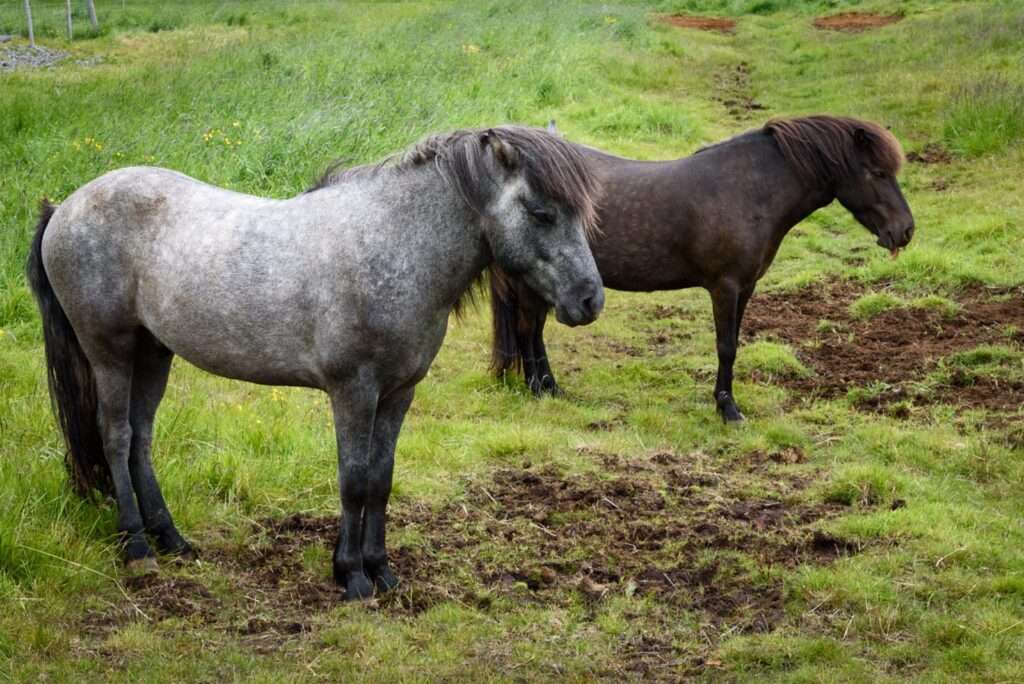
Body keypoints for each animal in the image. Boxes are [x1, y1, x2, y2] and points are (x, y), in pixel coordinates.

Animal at [26, 126, 604, 600]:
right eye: (541, 213)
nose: (589, 300)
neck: (393, 247)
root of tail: (65, 208)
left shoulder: (398, 393)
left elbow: (381, 478)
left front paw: (382, 571)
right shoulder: (353, 391)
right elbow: (353, 479)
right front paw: (351, 576)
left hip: (153, 352)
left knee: (141, 438)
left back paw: (171, 539)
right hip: (110, 351)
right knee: (117, 436)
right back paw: (138, 548)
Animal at [489, 115, 914, 421]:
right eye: (877, 173)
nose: (905, 230)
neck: (749, 190)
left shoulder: (746, 287)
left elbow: (735, 343)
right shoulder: (725, 286)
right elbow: (725, 346)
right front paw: (728, 408)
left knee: (534, 332)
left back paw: (550, 388)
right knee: (529, 331)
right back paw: (539, 389)